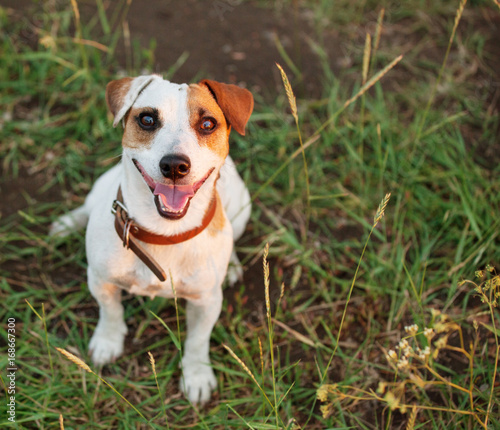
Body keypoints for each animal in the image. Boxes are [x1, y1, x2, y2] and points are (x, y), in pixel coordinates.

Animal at [49, 74, 254, 404]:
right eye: (147, 119)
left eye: (207, 124)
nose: (174, 165)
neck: (164, 234)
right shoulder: (100, 280)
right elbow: (111, 311)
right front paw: (108, 341)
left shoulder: (207, 301)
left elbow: (198, 341)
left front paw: (196, 375)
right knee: (87, 206)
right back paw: (68, 223)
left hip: (241, 209)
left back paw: (233, 265)